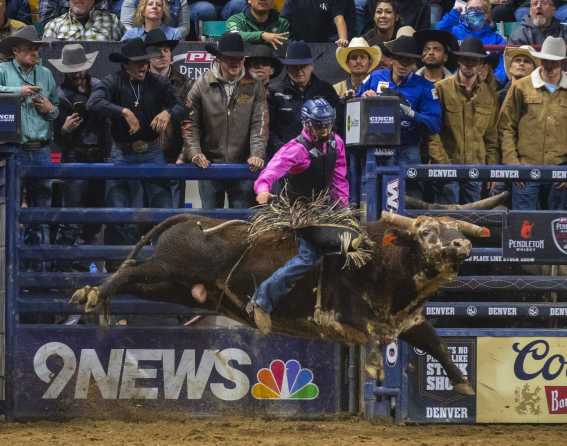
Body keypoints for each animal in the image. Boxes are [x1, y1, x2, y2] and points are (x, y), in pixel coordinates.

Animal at [70, 194, 506, 394]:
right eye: (427, 232)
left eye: (455, 230)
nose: (460, 246)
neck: (383, 261)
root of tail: (191, 220)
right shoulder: (350, 318)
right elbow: (374, 340)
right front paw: (375, 369)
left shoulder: (409, 321)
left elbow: (437, 344)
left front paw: (463, 383)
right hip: (169, 271)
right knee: (131, 272)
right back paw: (93, 295)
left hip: (179, 289)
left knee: (134, 278)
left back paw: (94, 297)